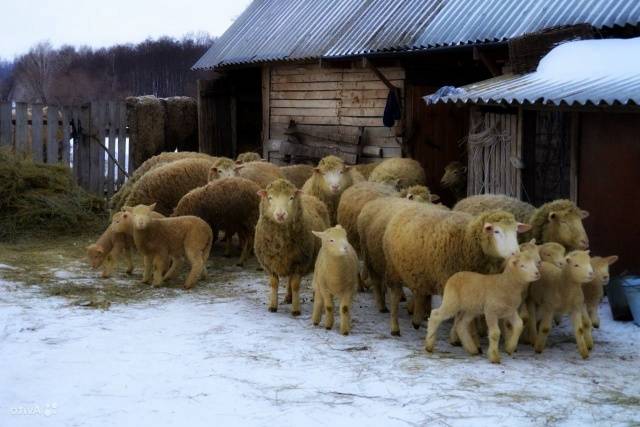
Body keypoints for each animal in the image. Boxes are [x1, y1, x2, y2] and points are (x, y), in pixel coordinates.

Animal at [252, 179, 330, 316]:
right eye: (270, 197)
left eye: (291, 198)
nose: (280, 214)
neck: (280, 243)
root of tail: (311, 197)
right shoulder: (270, 263)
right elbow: (274, 284)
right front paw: (273, 306)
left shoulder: (300, 262)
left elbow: (295, 285)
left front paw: (296, 309)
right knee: (289, 279)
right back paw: (289, 297)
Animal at [382, 208, 528, 338]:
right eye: (496, 231)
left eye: (516, 231)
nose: (516, 254)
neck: (466, 240)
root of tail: (403, 211)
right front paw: (457, 338)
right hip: (393, 271)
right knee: (395, 298)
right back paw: (395, 328)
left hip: (420, 273)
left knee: (420, 293)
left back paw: (416, 322)